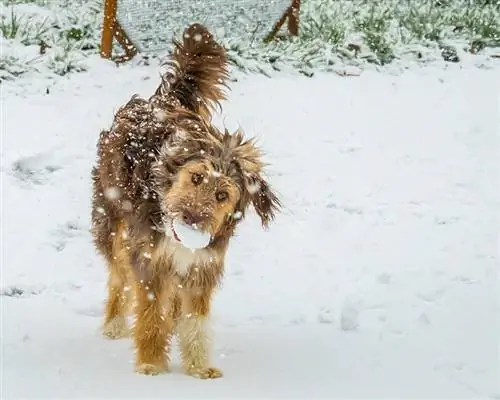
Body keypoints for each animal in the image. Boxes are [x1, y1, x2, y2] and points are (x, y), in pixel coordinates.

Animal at [90, 23, 282, 380]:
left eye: (222, 195)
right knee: (119, 276)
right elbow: (150, 314)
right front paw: (151, 363)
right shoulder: (150, 261)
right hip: (111, 221)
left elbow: (197, 321)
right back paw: (114, 324)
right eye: (195, 177)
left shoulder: (201, 267)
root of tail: (159, 101)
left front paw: (198, 366)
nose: (192, 219)